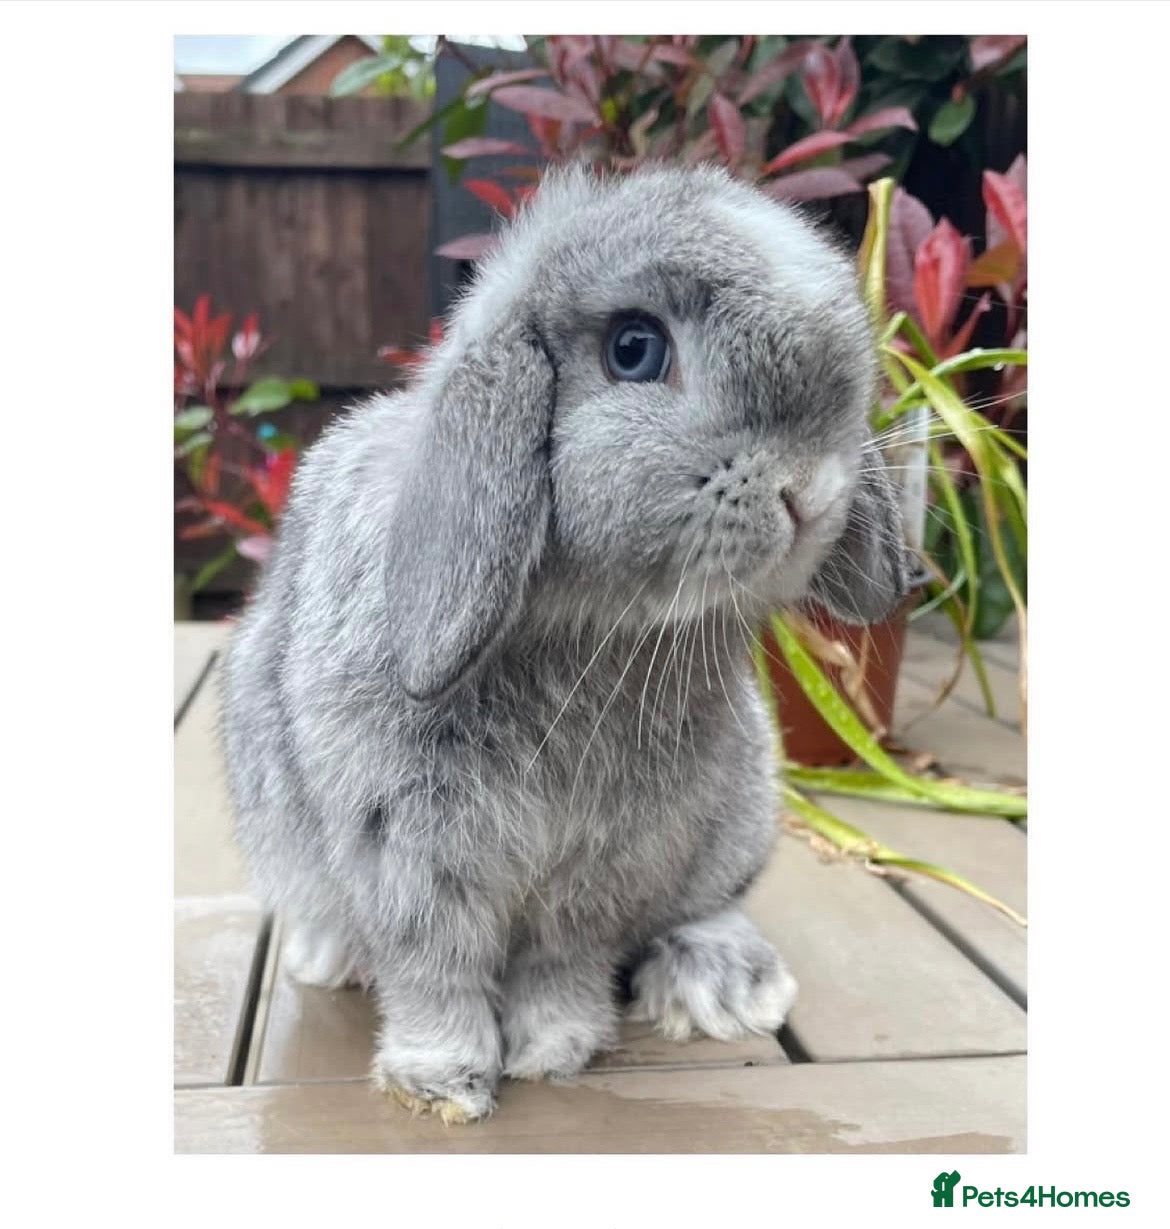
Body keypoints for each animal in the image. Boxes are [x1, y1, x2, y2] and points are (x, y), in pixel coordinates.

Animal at [220, 163, 915, 1123]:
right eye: (634, 349)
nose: (809, 490)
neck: (588, 626)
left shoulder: (606, 860)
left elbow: (563, 959)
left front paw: (556, 1049)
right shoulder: (405, 844)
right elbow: (435, 968)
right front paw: (442, 1084)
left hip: (739, 811)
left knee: (704, 906)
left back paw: (724, 986)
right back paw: (331, 957)